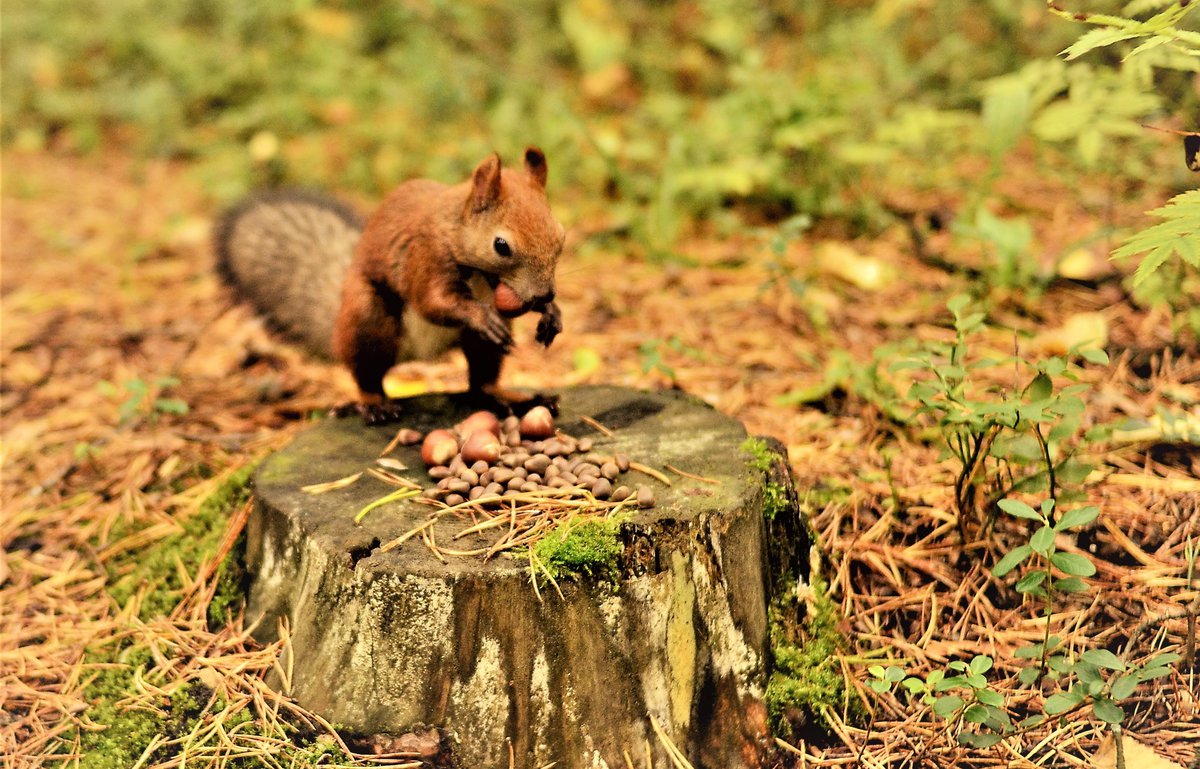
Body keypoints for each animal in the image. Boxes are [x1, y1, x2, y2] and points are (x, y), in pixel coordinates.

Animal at [217, 146, 566, 422]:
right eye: (501, 246)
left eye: (561, 236)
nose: (543, 293)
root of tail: (417, 354)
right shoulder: (425, 256)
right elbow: (433, 300)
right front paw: (481, 315)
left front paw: (551, 312)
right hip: (367, 319)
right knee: (367, 375)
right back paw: (375, 405)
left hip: (479, 347)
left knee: (482, 380)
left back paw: (511, 398)